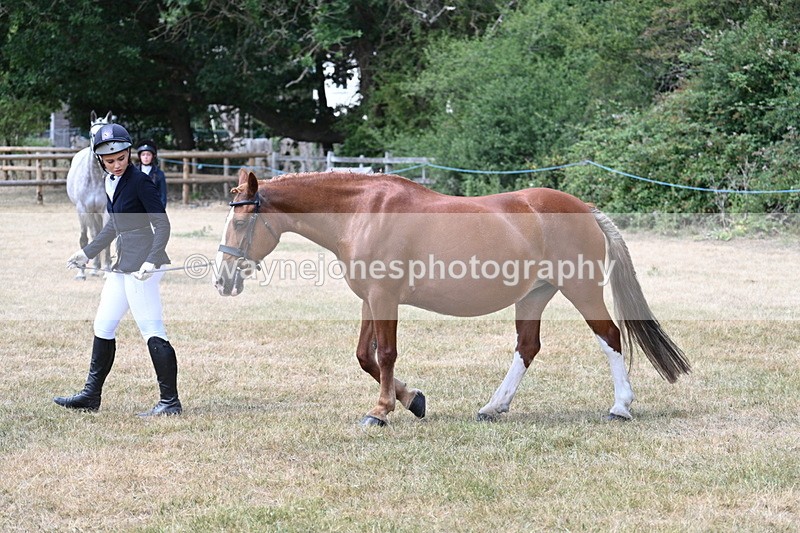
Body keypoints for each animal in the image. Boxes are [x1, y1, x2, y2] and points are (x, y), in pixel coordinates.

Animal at [66, 111, 113, 279]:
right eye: (92, 134)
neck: (94, 179)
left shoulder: (105, 211)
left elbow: (105, 241)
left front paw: (107, 271)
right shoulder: (83, 210)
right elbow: (85, 238)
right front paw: (81, 272)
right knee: (93, 235)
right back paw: (94, 268)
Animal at [215, 168, 691, 426]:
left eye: (239, 223)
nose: (222, 281)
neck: (364, 212)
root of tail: (584, 208)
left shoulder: (385, 297)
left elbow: (385, 354)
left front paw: (382, 411)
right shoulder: (370, 298)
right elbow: (365, 357)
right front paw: (414, 401)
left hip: (582, 290)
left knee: (609, 337)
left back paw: (620, 407)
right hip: (533, 295)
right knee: (527, 347)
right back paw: (493, 407)